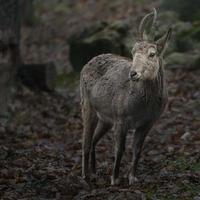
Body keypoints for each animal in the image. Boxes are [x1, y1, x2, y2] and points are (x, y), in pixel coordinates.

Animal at [79, 8, 172, 185]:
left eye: (152, 54)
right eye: (133, 51)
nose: (133, 73)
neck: (143, 108)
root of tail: (86, 64)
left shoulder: (148, 122)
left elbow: (137, 149)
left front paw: (132, 178)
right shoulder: (121, 118)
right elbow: (120, 149)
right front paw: (115, 179)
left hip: (106, 118)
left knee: (94, 139)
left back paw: (94, 172)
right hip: (87, 104)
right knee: (85, 141)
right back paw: (85, 175)